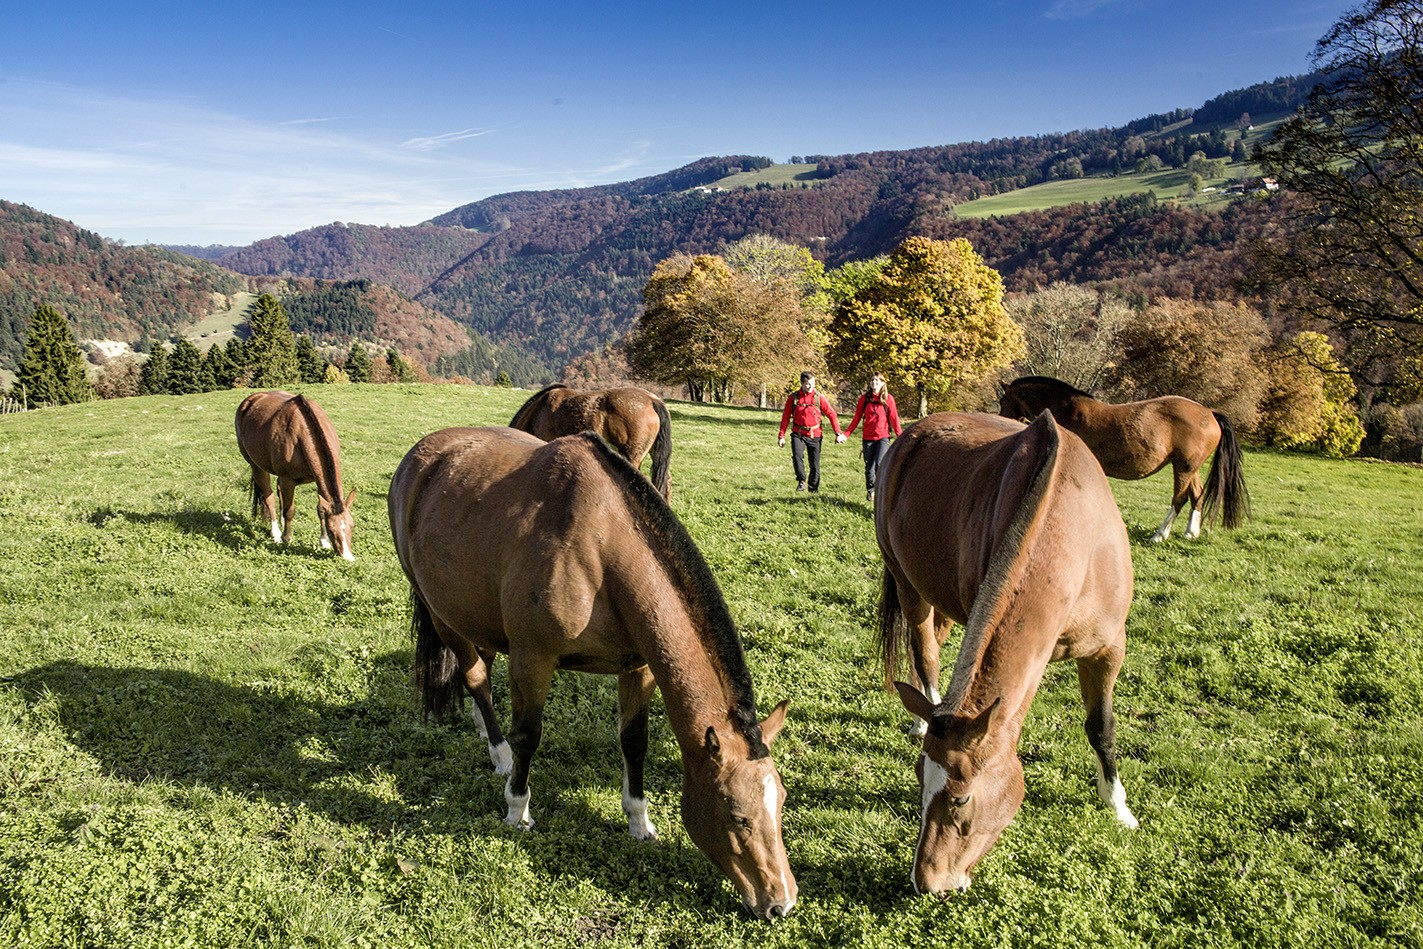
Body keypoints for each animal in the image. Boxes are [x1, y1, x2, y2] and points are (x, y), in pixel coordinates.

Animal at [233, 389, 355, 560]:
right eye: (332, 530)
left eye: (353, 525)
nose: (347, 557)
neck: (303, 430)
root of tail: (252, 399)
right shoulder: (288, 480)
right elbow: (289, 511)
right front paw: (287, 538)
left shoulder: (318, 479)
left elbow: (320, 509)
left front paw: (324, 542)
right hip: (256, 466)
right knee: (269, 498)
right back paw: (276, 533)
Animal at [384, 429, 796, 921]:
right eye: (738, 816)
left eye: (782, 802)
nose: (782, 902)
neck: (602, 550)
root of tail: (421, 455)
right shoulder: (533, 659)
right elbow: (529, 737)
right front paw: (517, 809)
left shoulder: (639, 667)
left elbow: (634, 742)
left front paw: (639, 820)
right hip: (443, 617)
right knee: (477, 677)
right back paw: (499, 752)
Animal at [870, 412, 1138, 893]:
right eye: (919, 782)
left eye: (961, 799)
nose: (927, 882)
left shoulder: (1108, 650)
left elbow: (1102, 728)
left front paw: (1118, 806)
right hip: (908, 587)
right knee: (926, 655)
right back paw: (924, 715)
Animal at [996, 375, 1252, 540]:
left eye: (1003, 400)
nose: (999, 418)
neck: (1065, 410)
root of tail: (1209, 412)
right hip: (1190, 467)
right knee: (1196, 495)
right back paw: (1191, 532)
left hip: (1183, 468)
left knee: (1178, 499)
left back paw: (1160, 535)